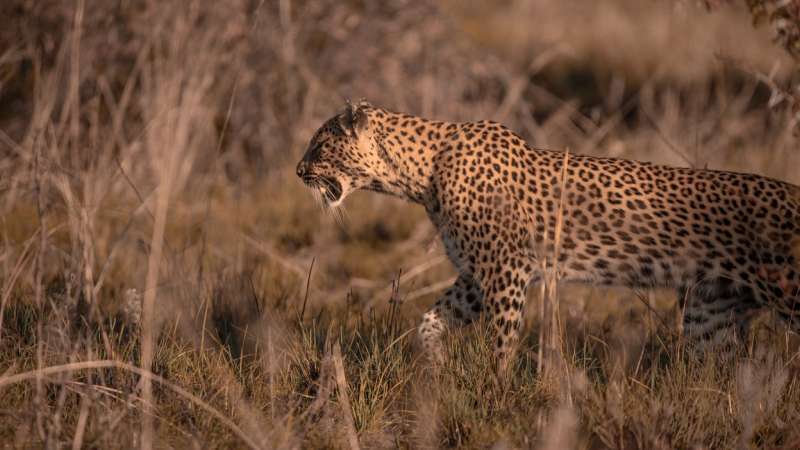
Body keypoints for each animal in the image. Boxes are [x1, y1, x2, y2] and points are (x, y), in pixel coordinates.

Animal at [296, 100, 800, 370]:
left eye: (320, 145)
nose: (298, 171)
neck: (419, 175)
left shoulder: (506, 271)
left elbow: (501, 344)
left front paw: (495, 394)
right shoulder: (476, 276)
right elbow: (431, 321)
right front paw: (434, 366)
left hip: (787, 296)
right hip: (709, 312)